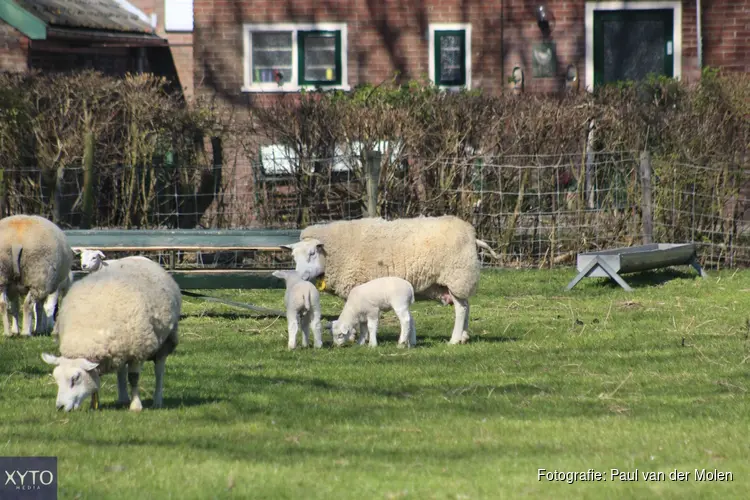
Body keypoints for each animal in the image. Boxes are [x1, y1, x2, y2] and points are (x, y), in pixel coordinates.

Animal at [41, 256, 181, 412]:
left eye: (75, 378)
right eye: (56, 379)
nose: (60, 407)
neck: (85, 335)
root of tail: (140, 257)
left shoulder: (137, 350)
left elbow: (134, 378)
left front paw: (136, 405)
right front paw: (94, 404)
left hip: (166, 340)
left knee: (159, 370)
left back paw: (157, 400)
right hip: (119, 345)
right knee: (121, 370)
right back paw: (123, 398)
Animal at [282, 213, 500, 346]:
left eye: (312, 253)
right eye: (293, 256)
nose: (301, 277)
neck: (333, 255)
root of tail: (472, 235)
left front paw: (354, 336)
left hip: (456, 276)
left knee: (461, 309)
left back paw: (454, 339)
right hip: (453, 282)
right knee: (467, 306)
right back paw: (463, 337)